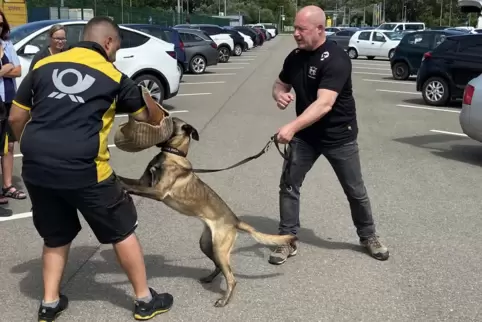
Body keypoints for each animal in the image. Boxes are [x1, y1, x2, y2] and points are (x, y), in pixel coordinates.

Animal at [117, 117, 298, 306]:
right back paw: (210, 278)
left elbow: (131, 187)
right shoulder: (143, 182)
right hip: (206, 244)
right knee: (219, 267)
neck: (173, 154)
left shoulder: (158, 192)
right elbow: (129, 181)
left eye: (171, 121)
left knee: (231, 278)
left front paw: (119, 185)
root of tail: (235, 220)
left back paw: (224, 300)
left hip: (219, 248)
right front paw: (114, 176)